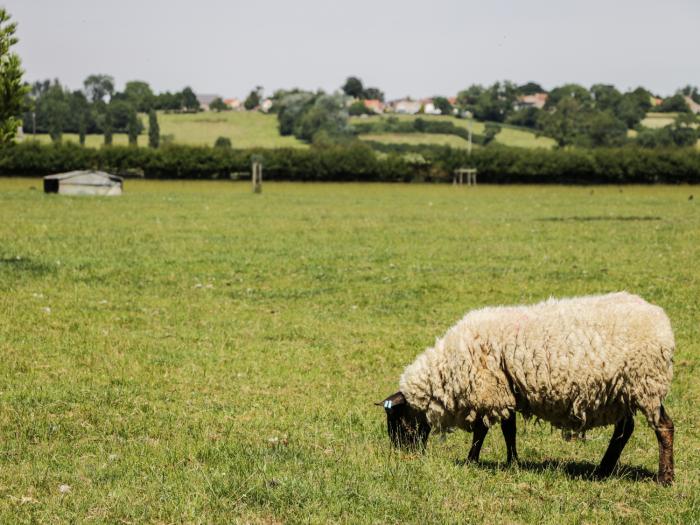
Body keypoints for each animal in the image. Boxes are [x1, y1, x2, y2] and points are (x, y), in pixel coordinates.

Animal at [380, 290, 676, 484]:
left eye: (399, 422)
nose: (403, 456)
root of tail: (661, 320)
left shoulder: (491, 391)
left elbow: (483, 431)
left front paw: (472, 459)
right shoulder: (507, 391)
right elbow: (508, 431)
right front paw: (513, 462)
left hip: (644, 383)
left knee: (664, 427)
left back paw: (665, 478)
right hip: (623, 391)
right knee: (624, 431)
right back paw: (603, 470)